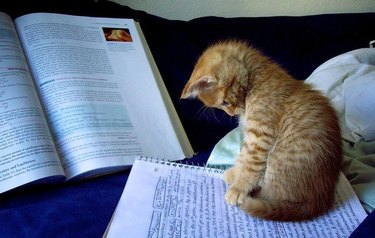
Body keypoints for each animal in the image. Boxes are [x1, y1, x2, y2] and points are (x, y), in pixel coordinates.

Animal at [182, 39, 344, 221]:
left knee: (269, 195)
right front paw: (235, 174)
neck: (255, 80)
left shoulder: (260, 135)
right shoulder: (250, 135)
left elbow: (250, 163)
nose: (232, 113)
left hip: (276, 161)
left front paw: (238, 189)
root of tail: (320, 200)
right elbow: (243, 155)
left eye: (224, 102)